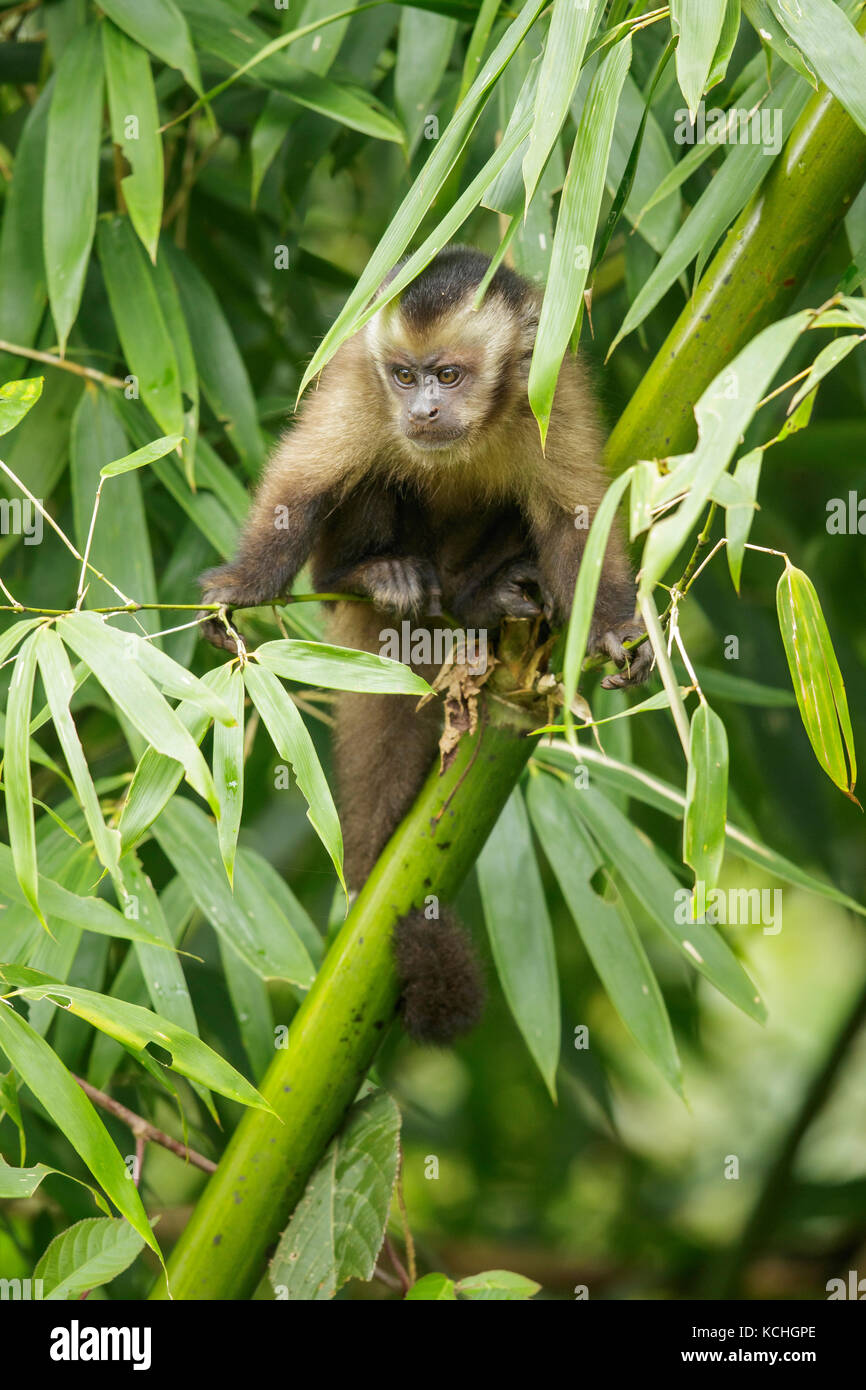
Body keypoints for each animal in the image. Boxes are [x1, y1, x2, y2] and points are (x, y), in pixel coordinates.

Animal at [201, 247, 650, 1045]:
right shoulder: (360, 376)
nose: (421, 412)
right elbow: (303, 481)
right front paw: (244, 583)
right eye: (406, 377)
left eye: (449, 375)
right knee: (370, 480)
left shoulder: (551, 390)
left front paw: (612, 630)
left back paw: (483, 597)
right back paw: (373, 576)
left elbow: (576, 524)